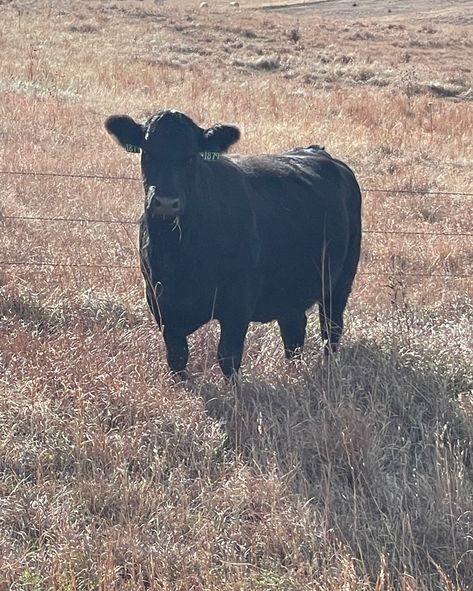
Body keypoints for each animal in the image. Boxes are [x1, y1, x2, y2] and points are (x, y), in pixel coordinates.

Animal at [104, 111, 362, 380]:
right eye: (148, 153)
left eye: (191, 157)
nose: (166, 203)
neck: (178, 254)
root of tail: (320, 152)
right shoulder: (160, 301)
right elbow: (177, 356)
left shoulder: (238, 302)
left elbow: (228, 355)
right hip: (290, 288)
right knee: (293, 329)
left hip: (341, 279)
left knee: (331, 328)